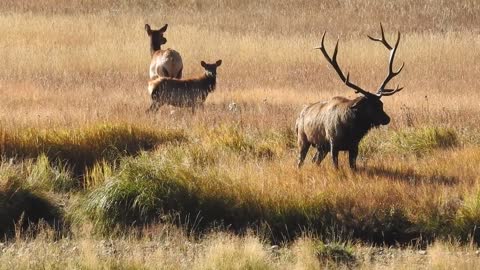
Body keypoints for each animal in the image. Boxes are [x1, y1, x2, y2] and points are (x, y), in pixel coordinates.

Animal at [296, 24, 404, 169]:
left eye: (381, 104)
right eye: (370, 106)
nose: (387, 119)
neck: (351, 130)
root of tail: (298, 117)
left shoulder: (354, 146)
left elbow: (353, 166)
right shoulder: (333, 144)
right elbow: (335, 166)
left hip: (321, 147)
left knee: (315, 160)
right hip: (302, 139)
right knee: (300, 161)